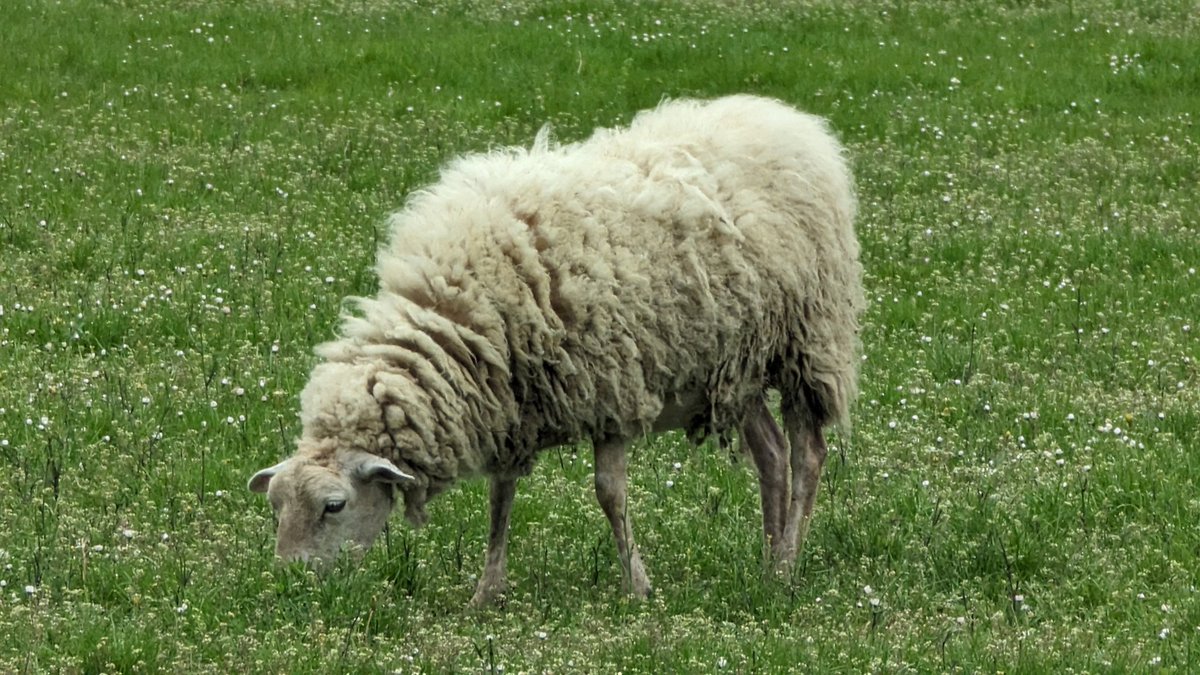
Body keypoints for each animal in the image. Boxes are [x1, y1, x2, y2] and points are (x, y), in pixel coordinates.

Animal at [248, 94, 864, 605]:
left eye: (334, 506)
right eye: (275, 505)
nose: (290, 584)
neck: (457, 314)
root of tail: (786, 118)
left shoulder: (613, 387)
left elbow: (610, 495)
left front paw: (637, 587)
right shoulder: (510, 407)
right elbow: (500, 499)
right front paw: (486, 593)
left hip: (808, 343)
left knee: (808, 454)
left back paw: (787, 565)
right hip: (736, 364)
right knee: (772, 455)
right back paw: (768, 563)